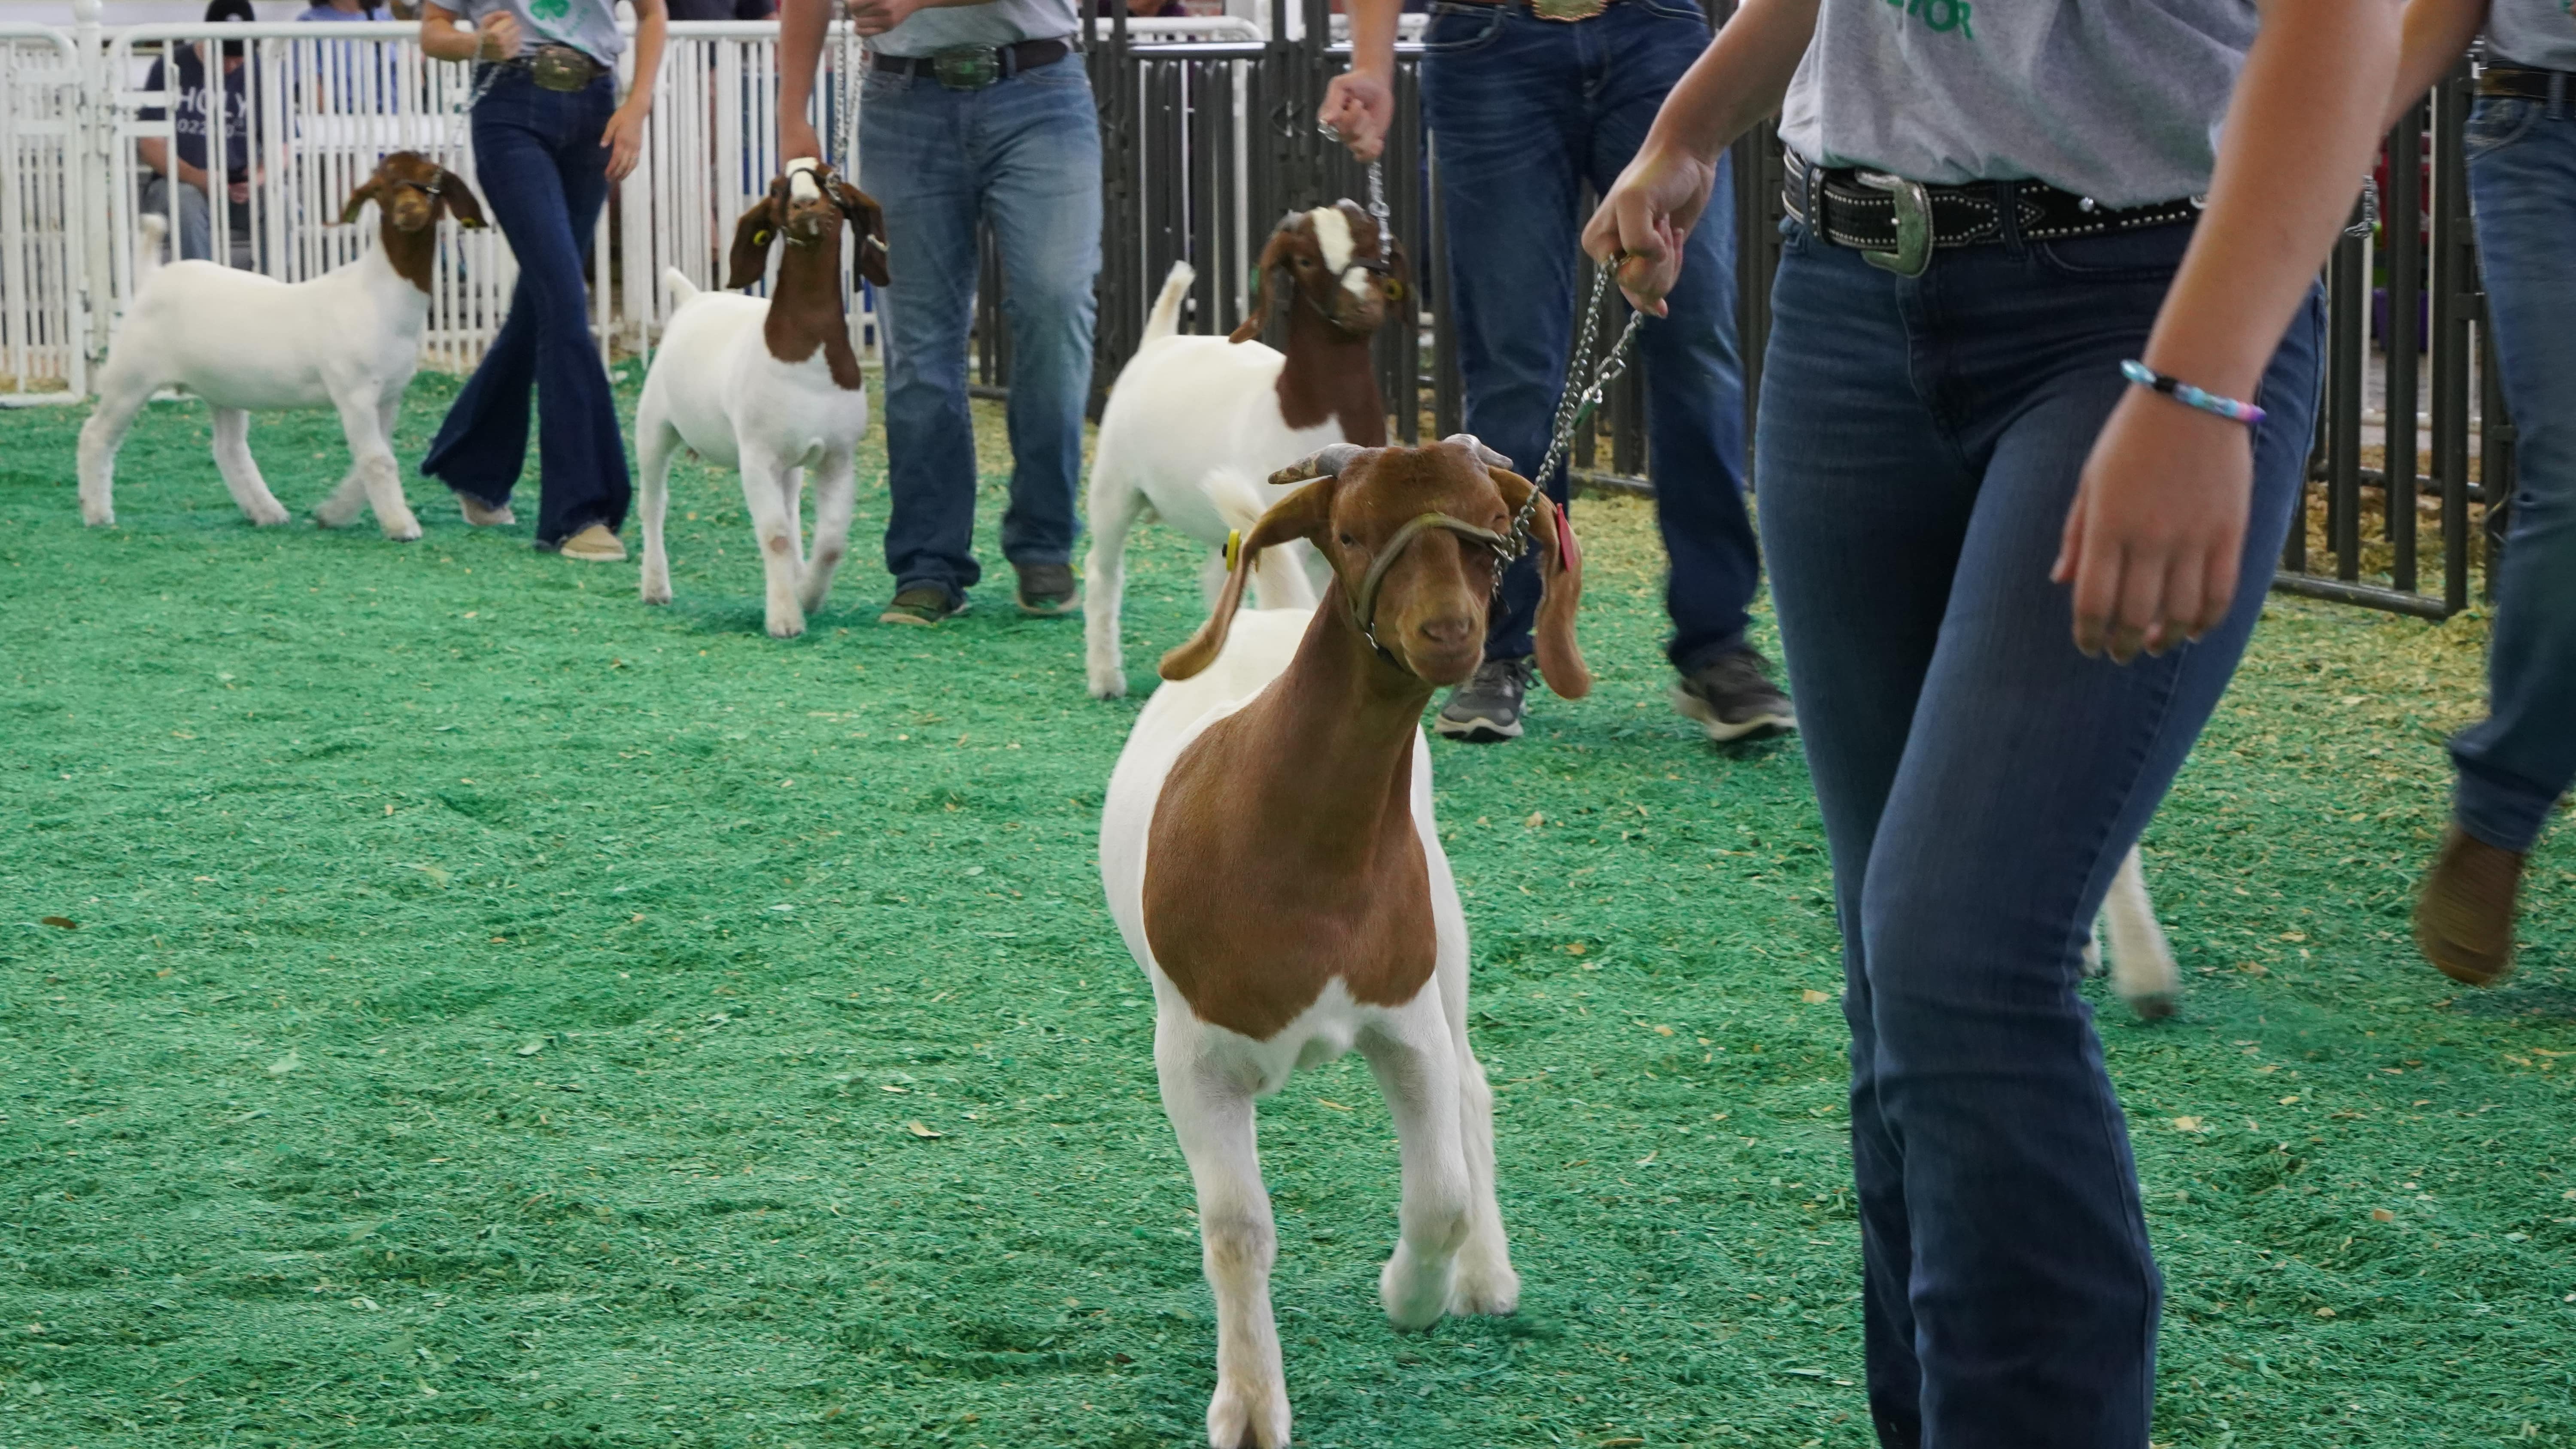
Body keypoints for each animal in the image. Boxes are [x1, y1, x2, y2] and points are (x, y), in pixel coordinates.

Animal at [79, 153, 487, 538]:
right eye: (380, 188)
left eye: (434, 178)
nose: (408, 212)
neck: (379, 294)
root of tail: (153, 277)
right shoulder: (354, 393)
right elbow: (378, 460)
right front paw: (402, 527)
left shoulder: (388, 395)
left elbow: (374, 456)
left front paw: (334, 514)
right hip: (131, 376)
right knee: (95, 435)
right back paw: (97, 514)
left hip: (223, 389)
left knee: (228, 449)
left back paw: (267, 512)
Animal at [639, 155, 891, 638]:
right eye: (775, 188)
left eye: (830, 179)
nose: (804, 203)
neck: (805, 357)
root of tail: (693, 299)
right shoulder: (757, 456)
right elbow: (774, 535)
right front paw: (785, 618)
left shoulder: (838, 457)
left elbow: (831, 541)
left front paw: (808, 593)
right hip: (653, 427)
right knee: (653, 505)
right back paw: (655, 587)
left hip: (792, 463)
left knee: (793, 512)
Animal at [1092, 435, 1577, 1449]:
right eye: (1350, 533)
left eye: (1490, 532)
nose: (1448, 632)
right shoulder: (1190, 1057)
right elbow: (1238, 1228)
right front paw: (1248, 1405)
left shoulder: (1405, 1019)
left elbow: (1441, 1194)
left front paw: (1412, 1294)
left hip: (1447, 923)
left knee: (1472, 1084)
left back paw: (1486, 1277)